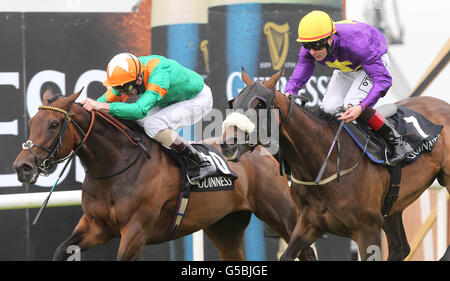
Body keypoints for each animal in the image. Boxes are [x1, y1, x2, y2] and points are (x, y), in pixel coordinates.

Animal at [11, 87, 316, 260]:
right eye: (33, 121)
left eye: (53, 124)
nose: (22, 167)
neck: (116, 167)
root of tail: (261, 151)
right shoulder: (96, 227)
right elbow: (61, 250)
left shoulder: (135, 232)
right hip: (225, 225)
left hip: (281, 213)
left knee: (305, 250)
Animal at [221, 69, 450, 260]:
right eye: (234, 101)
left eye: (259, 104)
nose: (227, 144)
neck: (323, 163)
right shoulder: (310, 223)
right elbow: (288, 255)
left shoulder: (367, 229)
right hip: (393, 206)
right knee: (400, 247)